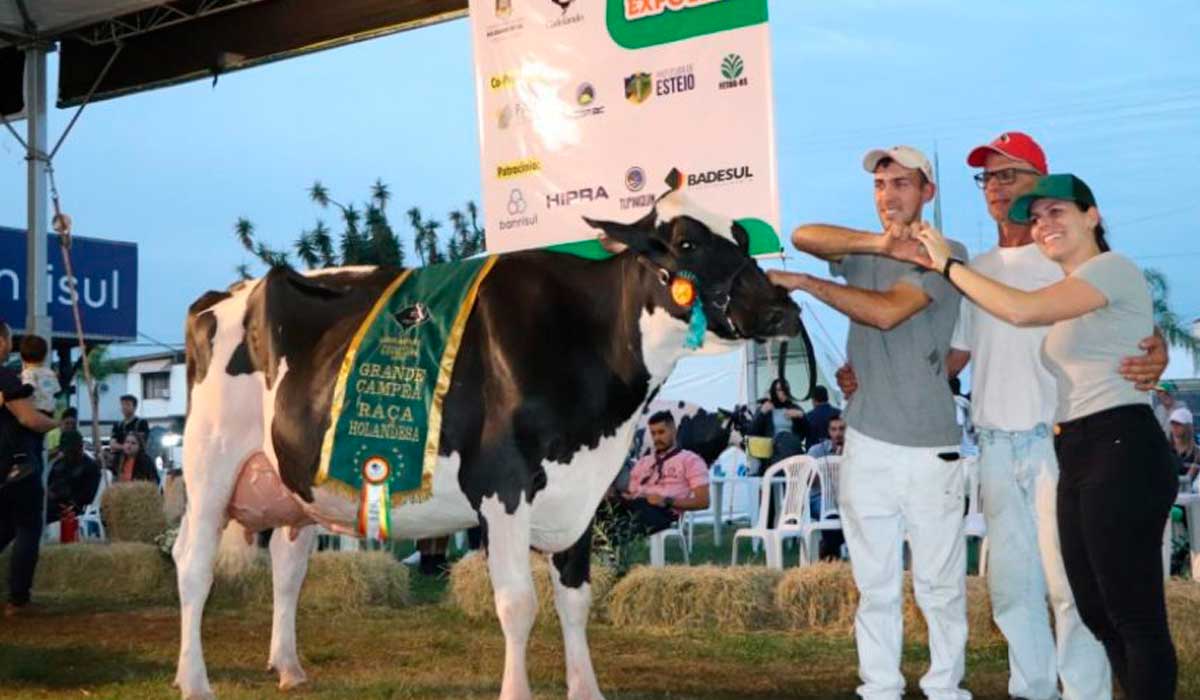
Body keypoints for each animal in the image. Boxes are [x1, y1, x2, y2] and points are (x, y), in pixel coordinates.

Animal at [174, 192, 801, 700]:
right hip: (210, 463)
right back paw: (195, 680)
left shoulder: (581, 496)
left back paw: (287, 668)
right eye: (687, 242)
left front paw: (587, 690)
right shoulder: (503, 487)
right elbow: (518, 603)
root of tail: (227, 294)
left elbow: (576, 600)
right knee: (193, 564)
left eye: (743, 237)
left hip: (294, 487)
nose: (782, 309)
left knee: (287, 567)